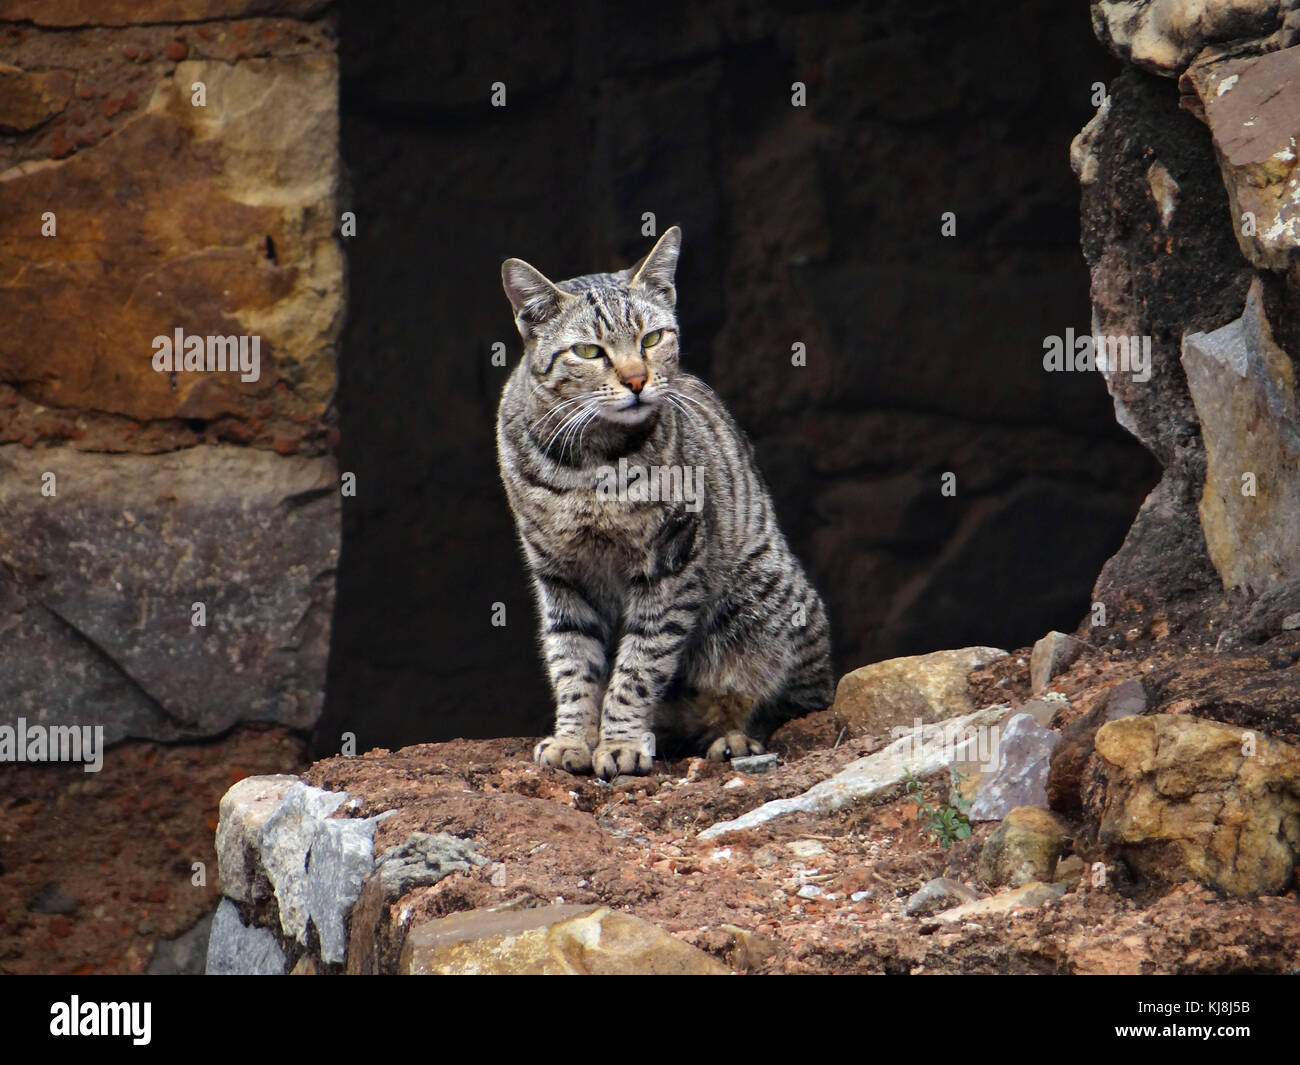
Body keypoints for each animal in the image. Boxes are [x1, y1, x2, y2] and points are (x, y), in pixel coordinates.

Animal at [491, 224, 837, 780]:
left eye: (651, 339)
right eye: (589, 351)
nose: (636, 380)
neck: (594, 464)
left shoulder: (670, 564)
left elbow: (638, 666)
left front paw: (620, 742)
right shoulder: (559, 573)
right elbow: (573, 661)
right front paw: (573, 738)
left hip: (768, 602)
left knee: (781, 706)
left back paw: (732, 738)